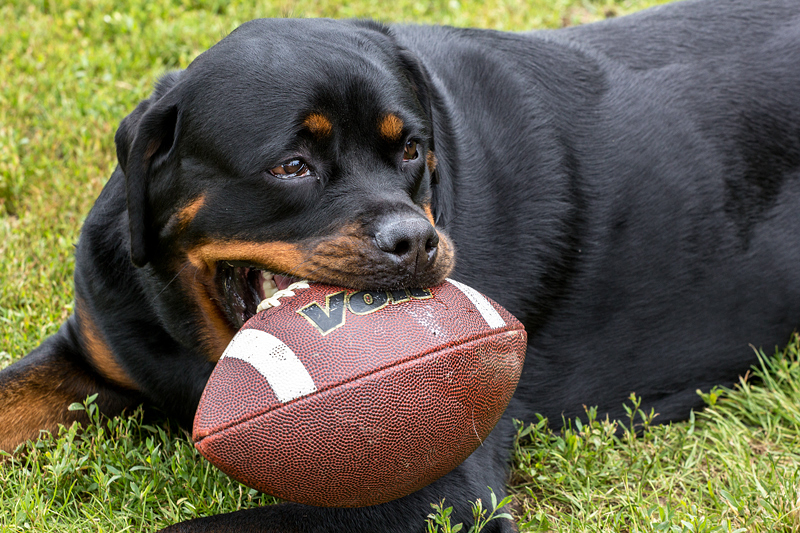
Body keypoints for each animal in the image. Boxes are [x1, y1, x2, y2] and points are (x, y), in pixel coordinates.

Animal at [1, 0, 800, 528]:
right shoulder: (94, 345)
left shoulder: (435, 489)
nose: (415, 239)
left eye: (411, 148)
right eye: (291, 165)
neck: (195, 337)